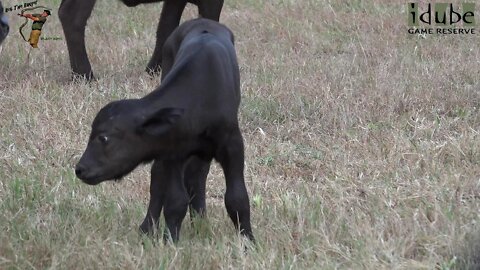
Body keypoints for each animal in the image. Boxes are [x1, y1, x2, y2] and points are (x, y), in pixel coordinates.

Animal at [74, 19, 255, 243]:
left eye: (104, 137)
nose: (80, 169)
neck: (198, 100)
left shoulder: (233, 145)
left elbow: (237, 198)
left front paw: (249, 241)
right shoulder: (172, 152)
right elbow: (175, 201)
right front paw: (171, 241)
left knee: (196, 176)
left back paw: (200, 223)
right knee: (160, 179)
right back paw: (148, 228)